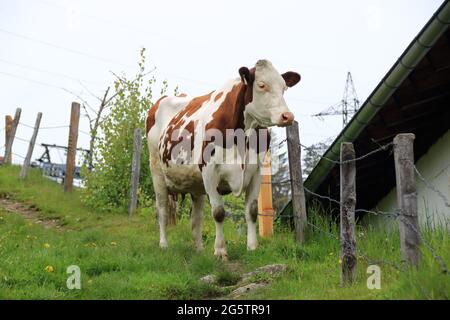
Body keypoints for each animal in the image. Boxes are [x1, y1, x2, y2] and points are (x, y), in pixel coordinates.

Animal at [148, 59, 300, 260]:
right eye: (261, 85)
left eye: (284, 87)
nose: (287, 116)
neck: (242, 134)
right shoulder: (209, 171)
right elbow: (218, 212)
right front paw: (220, 251)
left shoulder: (257, 171)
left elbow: (252, 211)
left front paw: (252, 247)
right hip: (157, 171)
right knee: (162, 210)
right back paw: (164, 244)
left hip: (196, 184)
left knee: (196, 217)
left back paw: (199, 249)